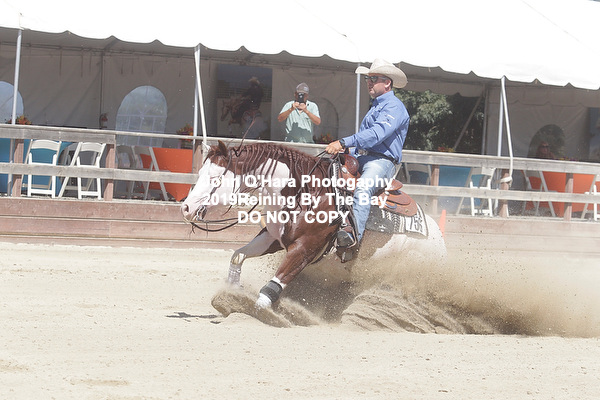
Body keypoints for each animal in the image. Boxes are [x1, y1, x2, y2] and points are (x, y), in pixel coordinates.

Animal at [181, 141, 446, 312]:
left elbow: (273, 287)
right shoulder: (273, 239)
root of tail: (437, 236)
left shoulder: (305, 249)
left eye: (215, 179)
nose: (185, 208)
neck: (306, 191)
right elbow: (238, 255)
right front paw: (233, 290)